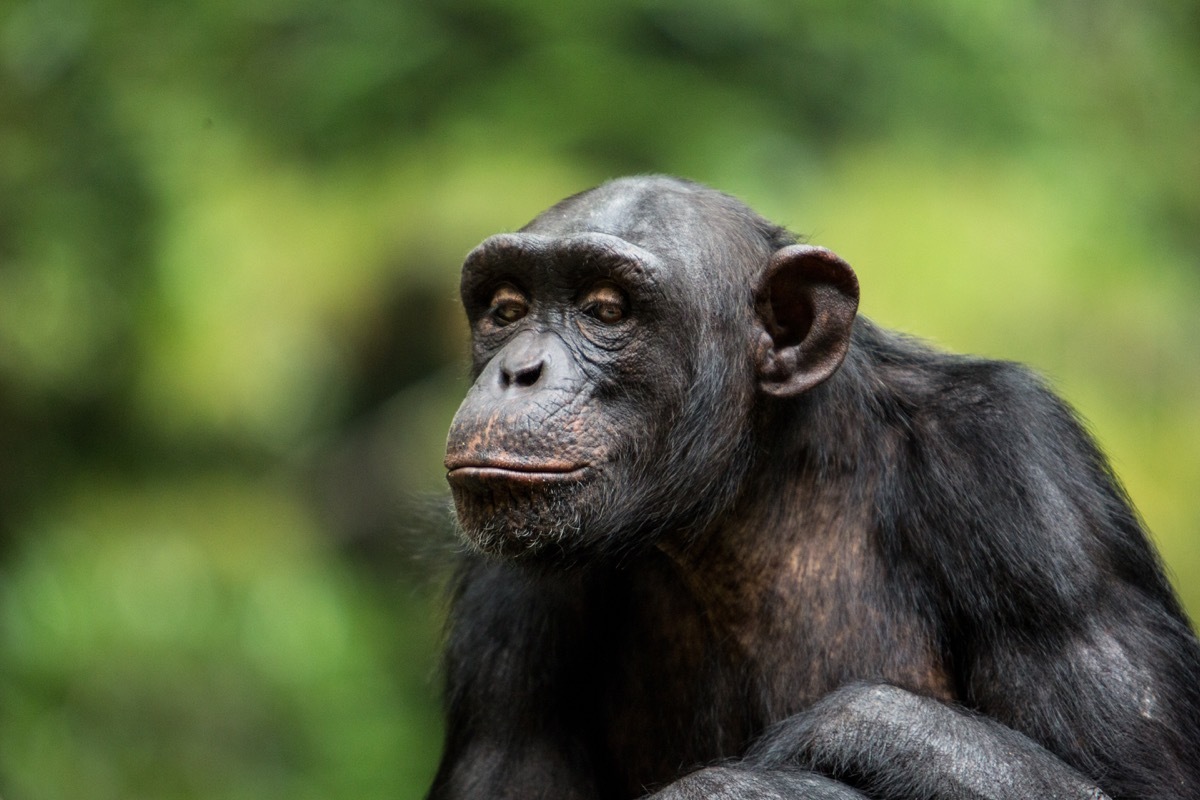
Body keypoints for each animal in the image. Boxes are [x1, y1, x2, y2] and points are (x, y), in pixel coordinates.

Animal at [429, 176, 1200, 800]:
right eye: (507, 309)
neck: (748, 494)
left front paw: (824, 745)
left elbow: (1143, 785)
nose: (517, 370)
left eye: (606, 310)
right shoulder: (503, 594)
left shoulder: (1033, 496)